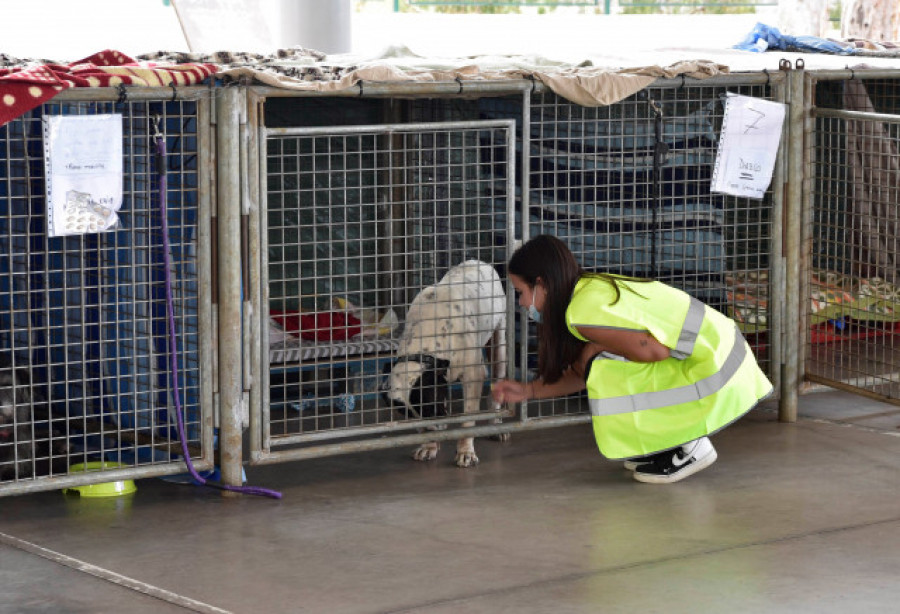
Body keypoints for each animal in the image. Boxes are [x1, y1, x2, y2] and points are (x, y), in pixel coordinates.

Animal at [380, 258, 506, 466]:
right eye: (409, 415)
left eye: (429, 407)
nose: (434, 428)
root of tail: (478, 261)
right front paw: (429, 446)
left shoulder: (472, 376)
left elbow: (468, 418)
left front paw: (465, 451)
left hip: (499, 344)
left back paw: (496, 423)